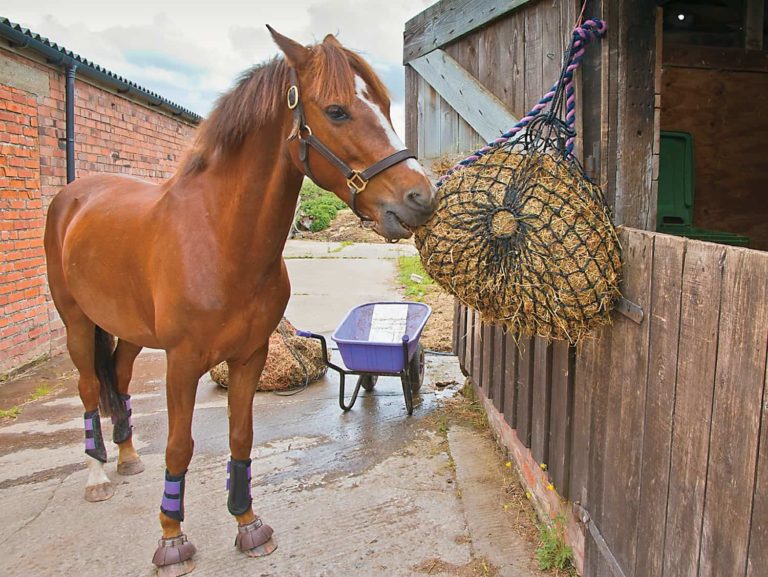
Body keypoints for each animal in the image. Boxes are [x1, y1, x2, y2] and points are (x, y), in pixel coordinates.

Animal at [44, 27, 435, 576]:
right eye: (337, 110)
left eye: (383, 104)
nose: (423, 197)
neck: (219, 237)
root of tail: (74, 196)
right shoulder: (183, 363)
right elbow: (180, 447)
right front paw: (171, 538)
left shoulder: (250, 355)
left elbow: (241, 436)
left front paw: (248, 523)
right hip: (77, 323)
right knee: (86, 388)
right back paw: (97, 475)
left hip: (129, 331)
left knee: (116, 379)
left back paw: (126, 458)